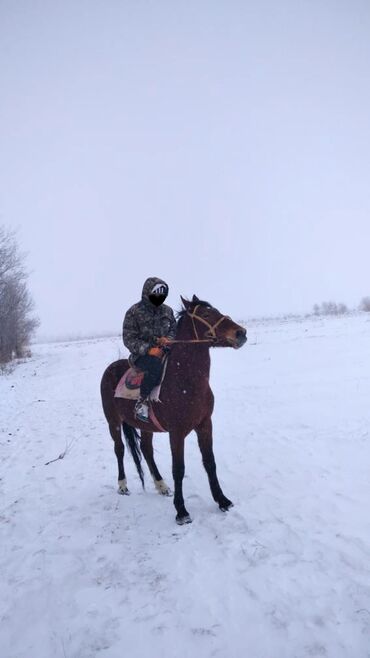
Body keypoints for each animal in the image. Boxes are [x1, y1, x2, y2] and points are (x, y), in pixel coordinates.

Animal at [99, 294, 247, 524]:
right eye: (206, 314)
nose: (241, 333)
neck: (187, 381)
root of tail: (110, 368)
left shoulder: (205, 425)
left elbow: (210, 462)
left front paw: (222, 500)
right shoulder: (176, 432)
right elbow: (179, 469)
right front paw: (181, 511)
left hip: (146, 426)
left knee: (146, 450)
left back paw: (161, 486)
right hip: (113, 421)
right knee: (120, 449)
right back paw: (123, 486)